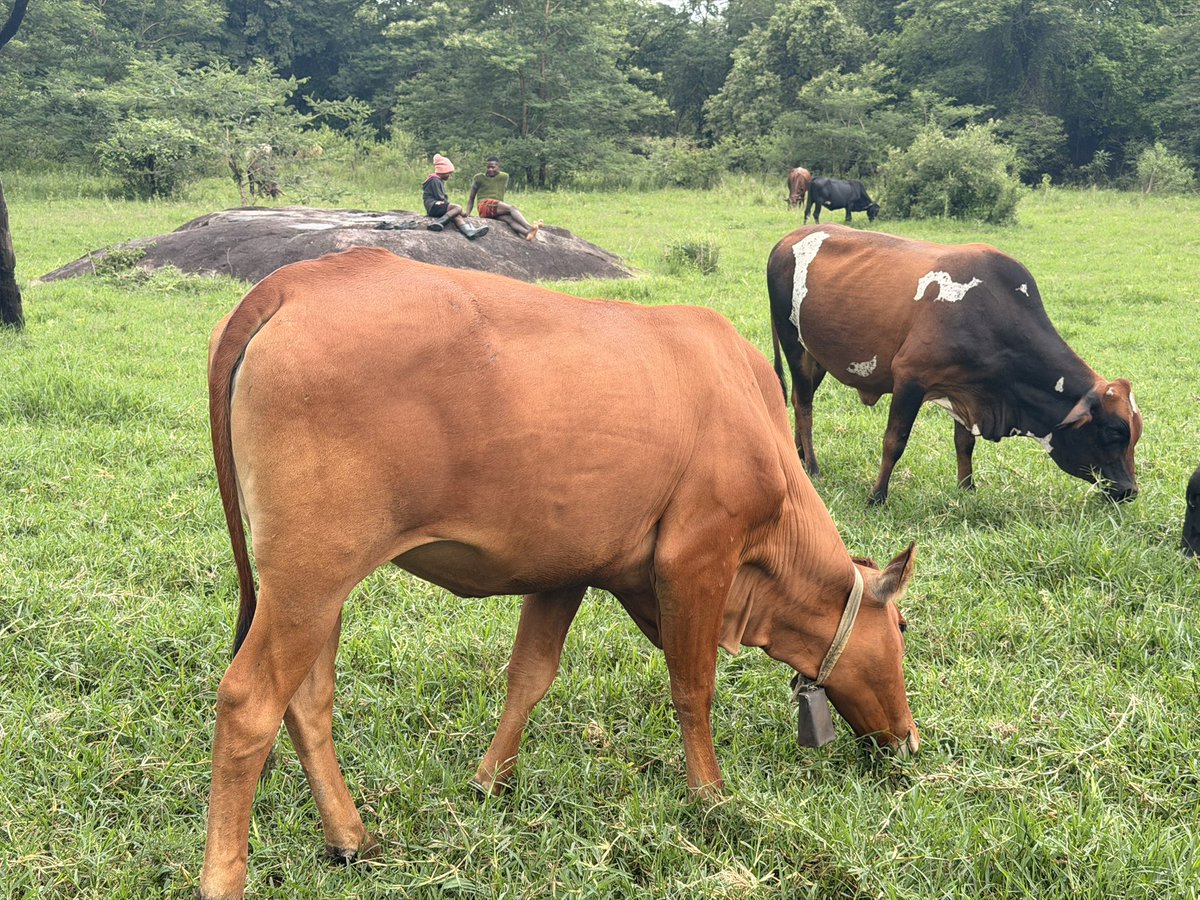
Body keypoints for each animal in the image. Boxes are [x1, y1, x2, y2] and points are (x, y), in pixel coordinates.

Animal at [198, 248, 919, 899]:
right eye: (905, 627)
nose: (910, 740)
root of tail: (297, 280)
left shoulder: (569, 567)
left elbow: (530, 676)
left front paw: (491, 780)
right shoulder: (696, 559)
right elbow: (693, 687)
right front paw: (711, 795)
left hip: (320, 588)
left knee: (308, 701)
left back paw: (352, 838)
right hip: (309, 577)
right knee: (249, 705)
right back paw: (227, 876)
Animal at [767, 225, 1142, 505]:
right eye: (1115, 432)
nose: (1130, 490)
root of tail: (785, 240)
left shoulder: (967, 391)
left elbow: (965, 443)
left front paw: (967, 488)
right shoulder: (910, 379)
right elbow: (894, 441)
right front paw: (877, 496)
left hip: (816, 357)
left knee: (801, 401)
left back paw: (800, 456)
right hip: (794, 345)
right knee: (804, 406)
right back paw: (813, 467)